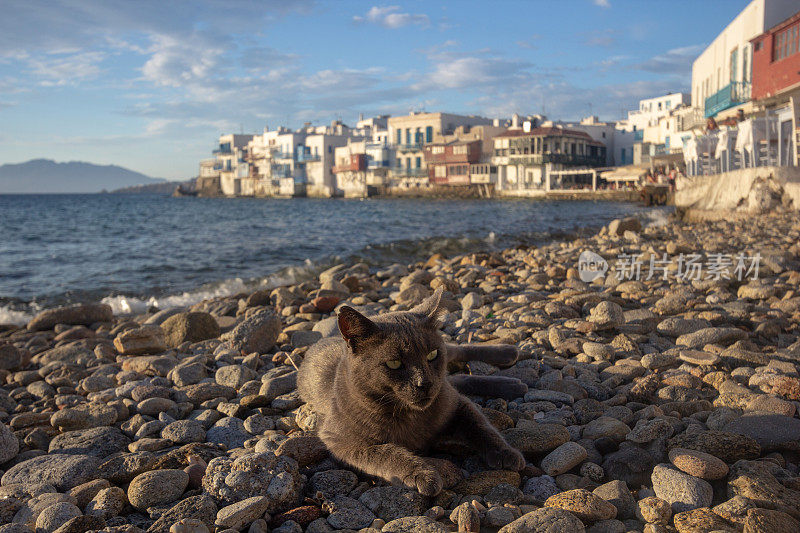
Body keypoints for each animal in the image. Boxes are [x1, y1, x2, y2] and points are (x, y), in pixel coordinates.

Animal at [296, 284, 528, 496]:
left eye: (432, 354)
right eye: (394, 364)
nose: (424, 383)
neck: (412, 416)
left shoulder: (456, 404)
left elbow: (481, 426)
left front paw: (506, 452)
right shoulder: (340, 440)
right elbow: (384, 453)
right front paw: (424, 475)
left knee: (457, 352)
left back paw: (508, 355)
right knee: (458, 377)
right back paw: (513, 383)